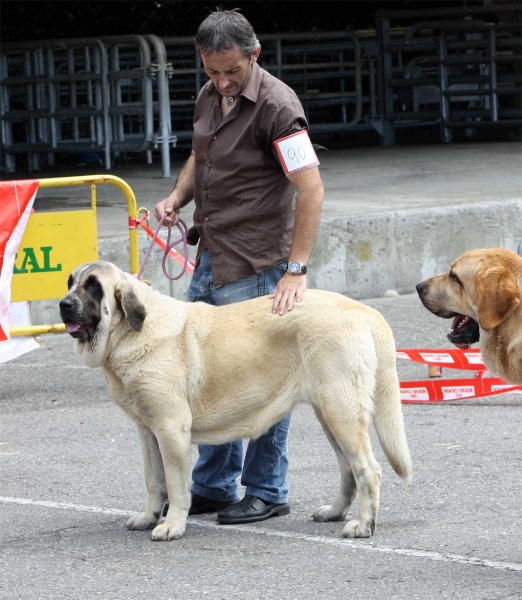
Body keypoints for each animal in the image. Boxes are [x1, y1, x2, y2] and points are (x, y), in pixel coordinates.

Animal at [60, 260, 410, 540]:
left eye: (94, 287)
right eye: (70, 282)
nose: (63, 304)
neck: (131, 332)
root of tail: (365, 311)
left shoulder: (171, 429)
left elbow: (175, 484)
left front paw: (172, 525)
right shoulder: (148, 432)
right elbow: (153, 480)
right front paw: (148, 517)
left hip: (342, 412)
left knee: (368, 469)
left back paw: (363, 525)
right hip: (330, 414)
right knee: (348, 468)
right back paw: (335, 512)